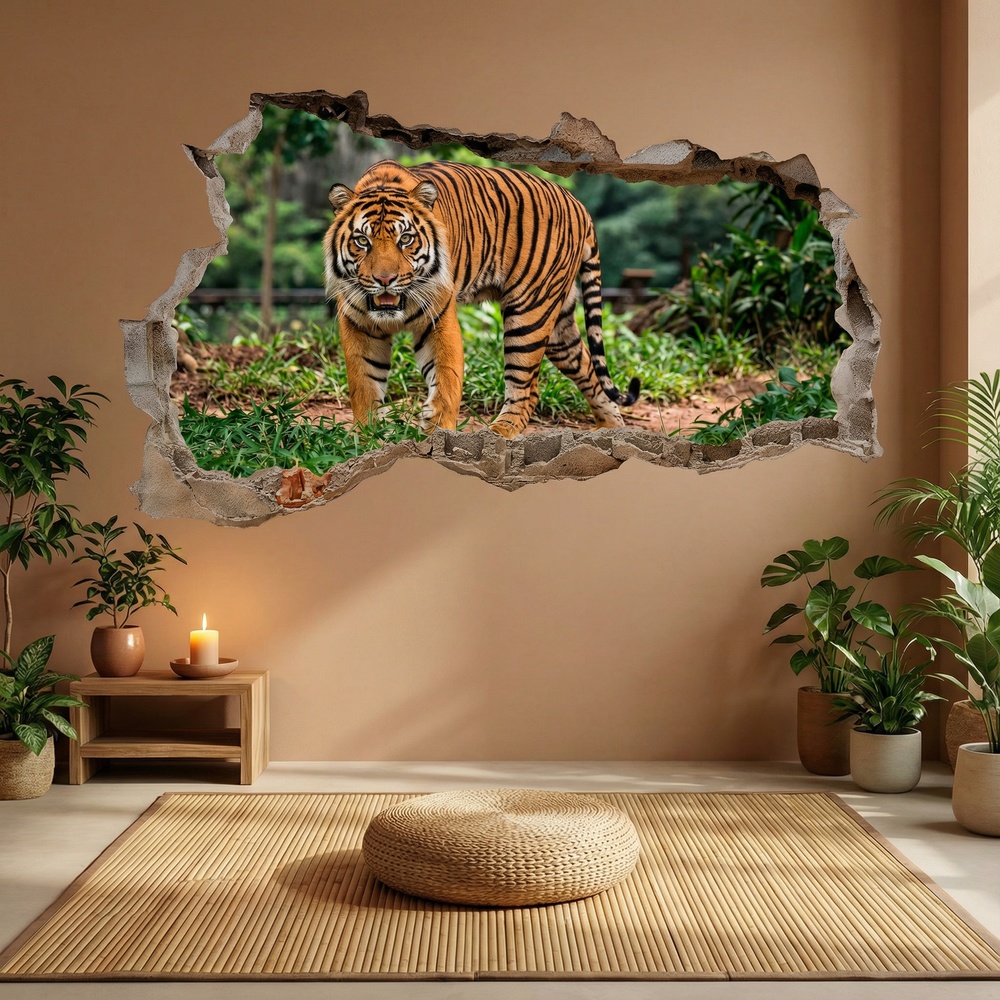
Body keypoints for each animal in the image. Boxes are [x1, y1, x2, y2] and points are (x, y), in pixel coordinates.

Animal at [322, 159, 640, 439]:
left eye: (406, 239)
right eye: (363, 241)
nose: (385, 280)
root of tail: (579, 205)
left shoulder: (438, 318)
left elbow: (446, 378)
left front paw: (436, 430)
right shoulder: (358, 324)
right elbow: (364, 383)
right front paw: (369, 436)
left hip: (529, 314)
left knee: (527, 390)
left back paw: (497, 434)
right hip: (558, 323)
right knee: (588, 368)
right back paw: (611, 430)